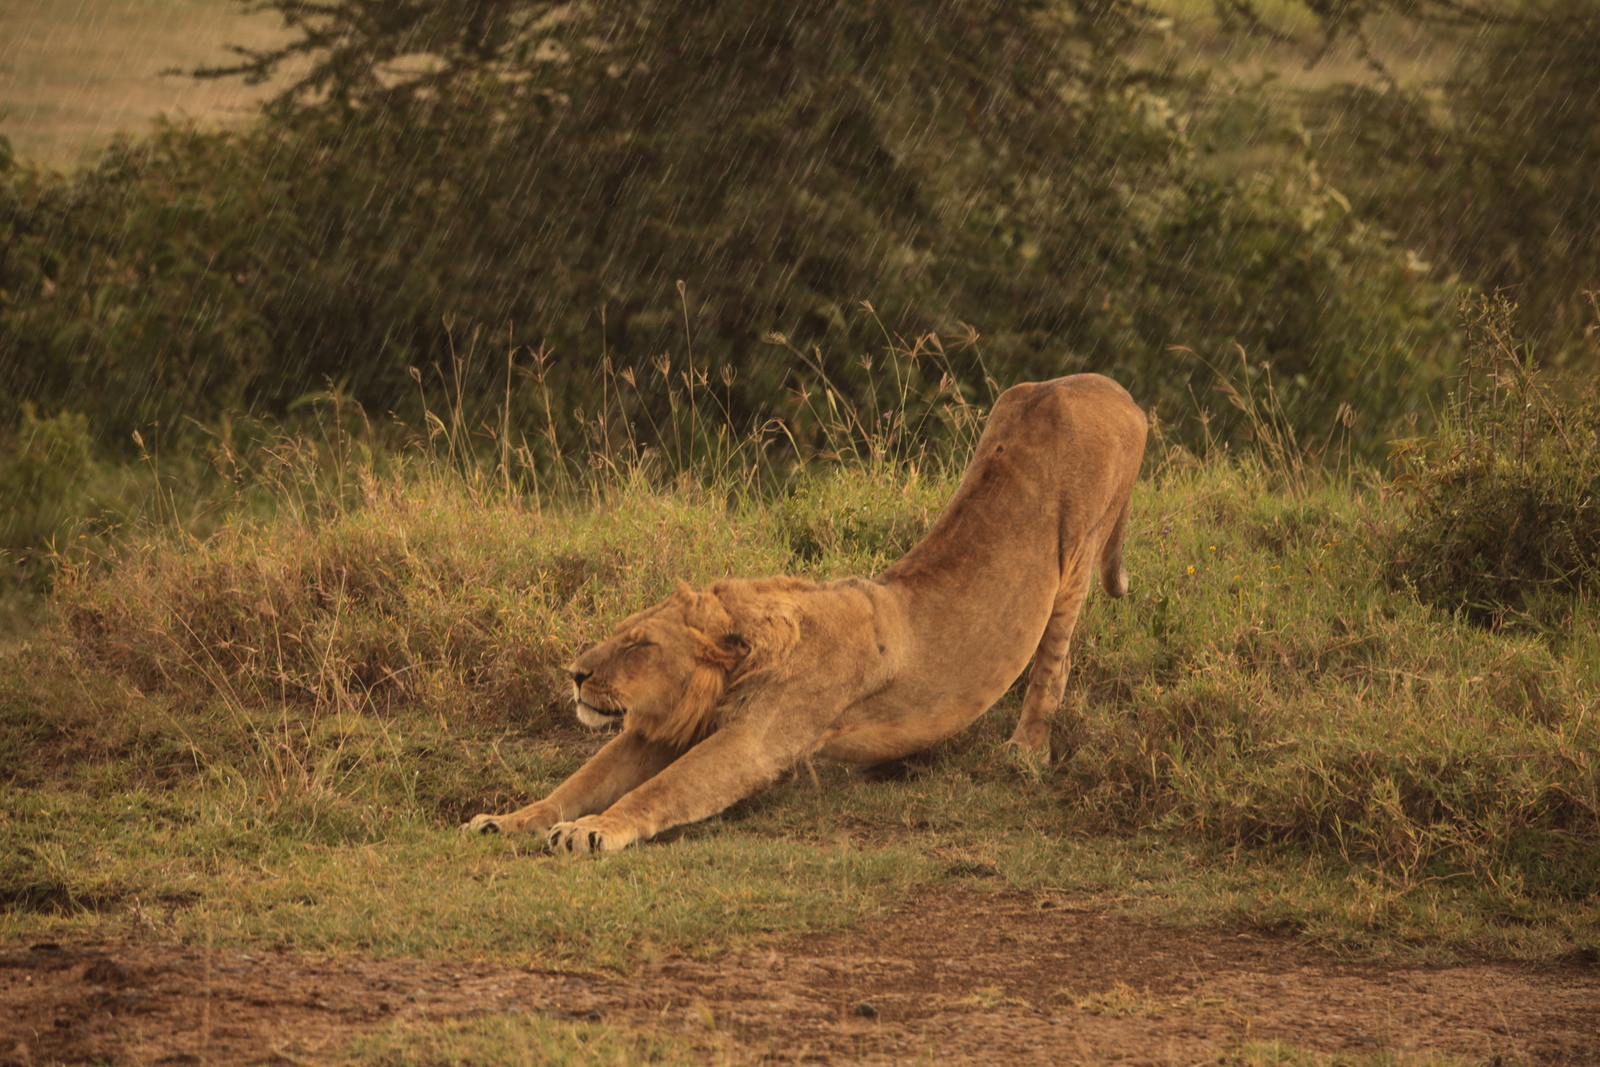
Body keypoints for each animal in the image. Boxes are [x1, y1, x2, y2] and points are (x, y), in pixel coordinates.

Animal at [467, 371, 1152, 857]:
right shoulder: (655, 729)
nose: (574, 675)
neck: (740, 662)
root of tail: (1105, 384)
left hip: (1077, 559)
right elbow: (576, 784)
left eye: (640, 646)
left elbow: (662, 789)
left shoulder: (754, 742)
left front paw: (594, 831)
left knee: (1054, 661)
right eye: (616, 637)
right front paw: (507, 819)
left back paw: (1025, 752)